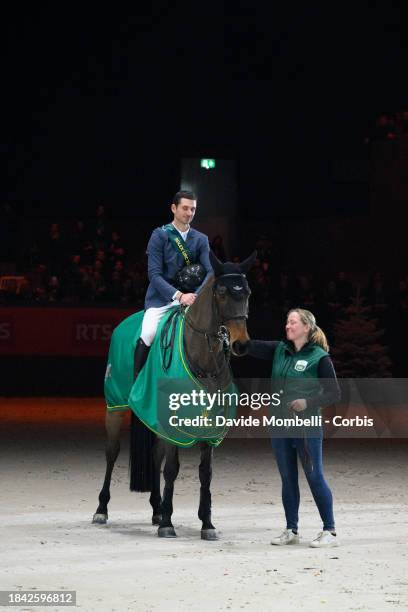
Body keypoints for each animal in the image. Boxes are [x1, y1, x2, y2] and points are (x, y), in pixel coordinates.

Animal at [92, 251, 255, 536]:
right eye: (222, 292)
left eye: (246, 292)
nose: (241, 344)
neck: (203, 358)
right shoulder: (172, 419)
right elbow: (171, 469)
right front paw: (168, 523)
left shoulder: (211, 423)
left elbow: (205, 472)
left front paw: (206, 523)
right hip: (115, 406)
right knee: (111, 452)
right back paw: (102, 509)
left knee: (155, 455)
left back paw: (156, 509)